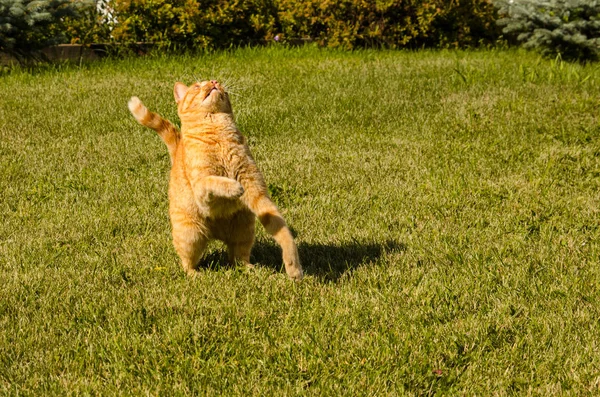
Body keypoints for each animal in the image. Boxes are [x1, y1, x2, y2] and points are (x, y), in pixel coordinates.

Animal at [128, 79, 302, 280]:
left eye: (215, 81)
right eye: (197, 86)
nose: (214, 82)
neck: (218, 135)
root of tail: (216, 235)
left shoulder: (257, 193)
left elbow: (283, 231)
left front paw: (294, 267)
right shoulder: (203, 195)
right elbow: (213, 181)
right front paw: (233, 187)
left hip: (244, 228)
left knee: (238, 257)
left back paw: (250, 268)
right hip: (191, 234)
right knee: (187, 262)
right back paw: (195, 275)